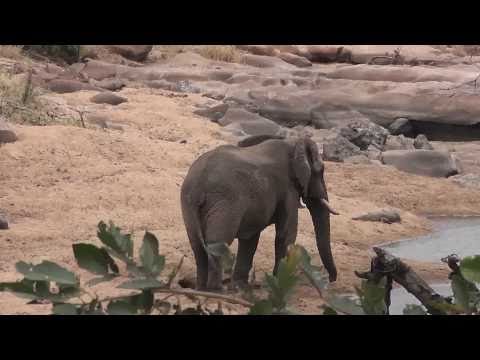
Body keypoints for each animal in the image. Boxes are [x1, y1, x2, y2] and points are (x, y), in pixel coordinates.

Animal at [179, 134, 338, 292]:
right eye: (320, 171)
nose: (331, 279)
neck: (292, 142)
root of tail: (198, 185)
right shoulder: (288, 189)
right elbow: (286, 235)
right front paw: (278, 284)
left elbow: (251, 239)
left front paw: (240, 287)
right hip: (224, 203)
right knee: (217, 243)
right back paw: (216, 290)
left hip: (189, 205)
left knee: (197, 246)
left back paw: (201, 288)